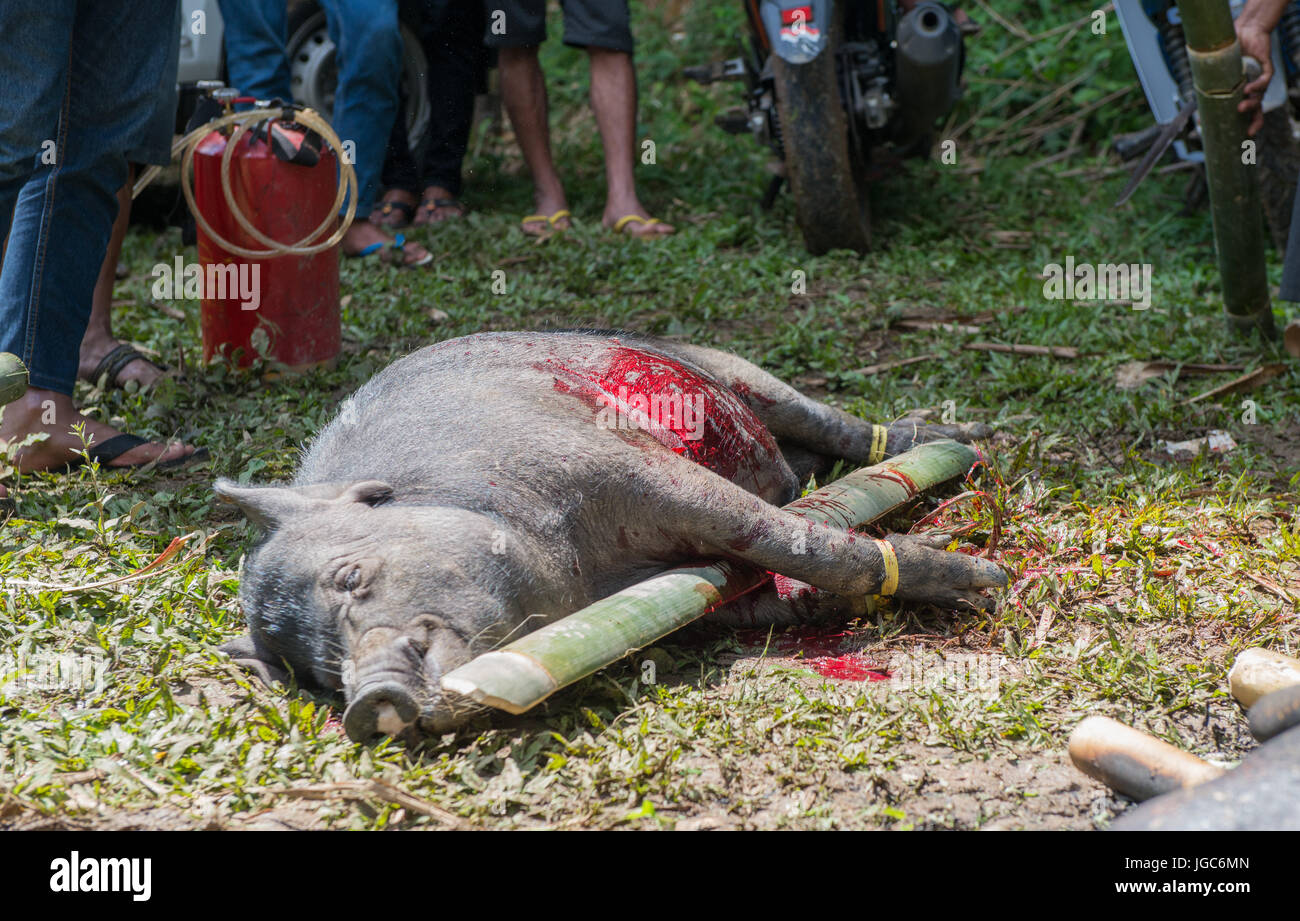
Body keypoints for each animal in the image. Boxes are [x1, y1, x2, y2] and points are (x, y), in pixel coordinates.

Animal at [218, 330, 1003, 738]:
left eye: (349, 577)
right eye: (319, 677)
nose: (367, 700)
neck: (584, 581)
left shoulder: (629, 465)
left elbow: (787, 537)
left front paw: (983, 582)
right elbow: (760, 586)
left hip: (731, 371)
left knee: (838, 427)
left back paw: (963, 439)